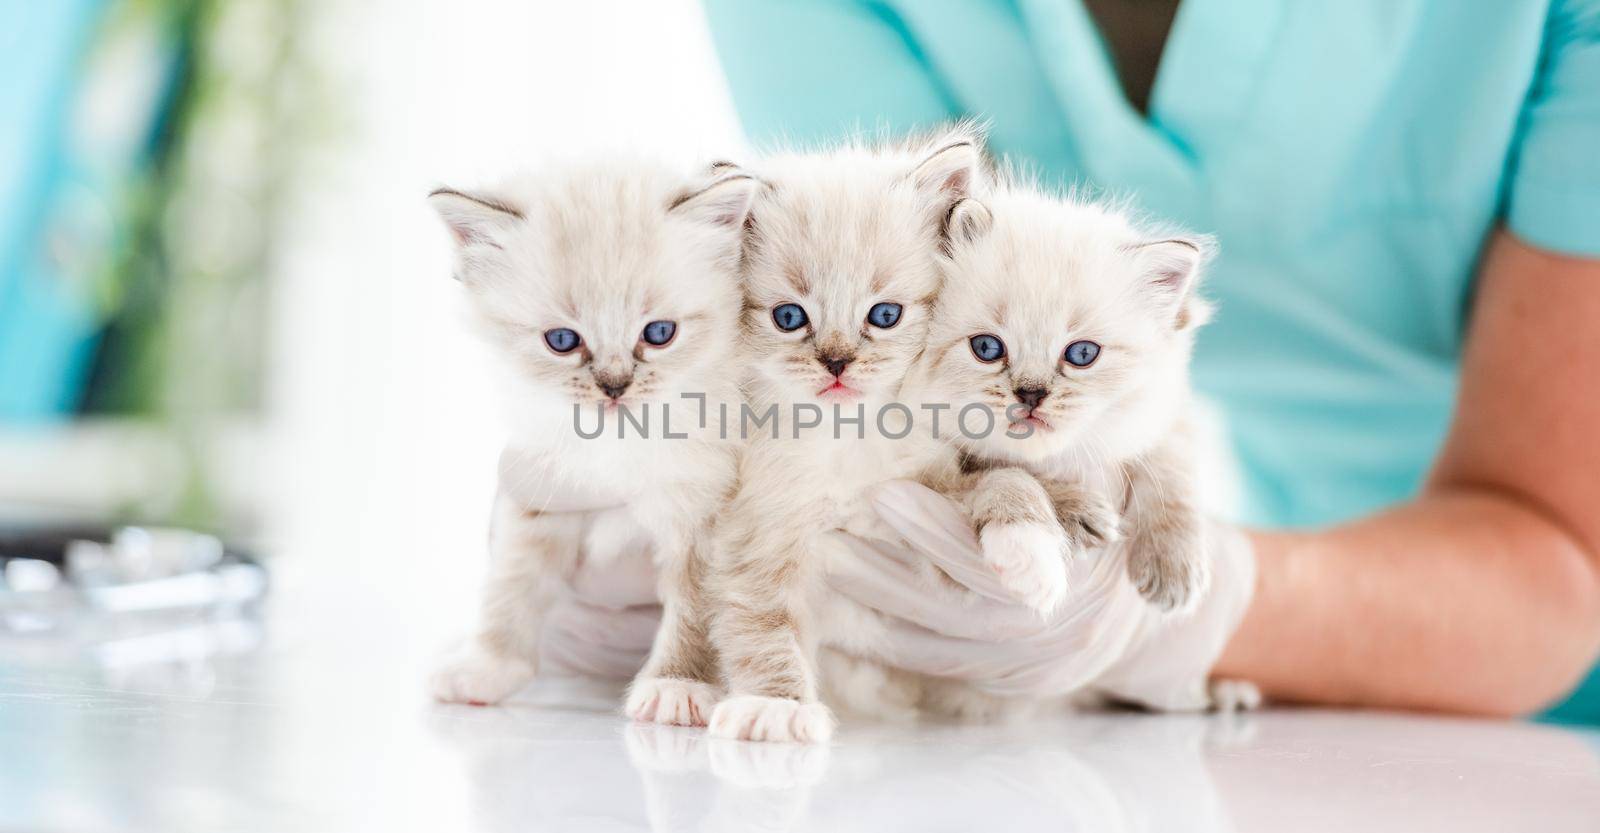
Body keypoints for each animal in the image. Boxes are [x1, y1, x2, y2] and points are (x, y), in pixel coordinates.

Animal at [428, 157, 758, 729]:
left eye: (660, 333)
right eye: (562, 341)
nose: (614, 386)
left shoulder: (704, 521)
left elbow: (695, 615)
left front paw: (678, 686)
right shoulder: (538, 498)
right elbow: (509, 589)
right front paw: (487, 667)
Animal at [707, 127, 979, 741]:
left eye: (884, 315)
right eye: (789, 318)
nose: (836, 362)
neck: (846, 440)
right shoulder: (761, 535)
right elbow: (765, 630)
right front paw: (778, 707)